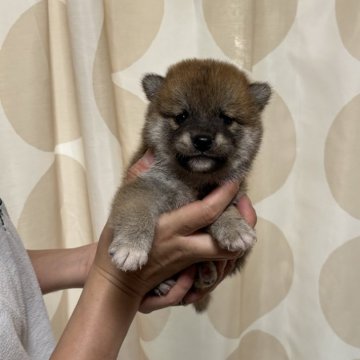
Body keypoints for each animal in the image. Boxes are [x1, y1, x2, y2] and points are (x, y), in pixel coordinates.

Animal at [108, 58, 272, 310]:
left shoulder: (231, 192)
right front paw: (131, 247)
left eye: (226, 119)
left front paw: (234, 228)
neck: (193, 180)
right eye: (182, 117)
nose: (202, 140)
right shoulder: (143, 187)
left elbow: (225, 209)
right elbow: (137, 213)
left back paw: (205, 270)